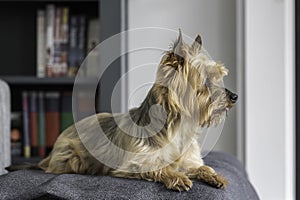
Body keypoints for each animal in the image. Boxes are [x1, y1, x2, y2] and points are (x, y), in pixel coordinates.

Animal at [12, 30, 237, 191]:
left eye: (219, 77)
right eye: (206, 81)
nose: (234, 96)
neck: (180, 126)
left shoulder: (189, 160)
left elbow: (201, 166)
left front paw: (214, 175)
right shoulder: (133, 163)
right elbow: (159, 166)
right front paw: (176, 177)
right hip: (73, 158)